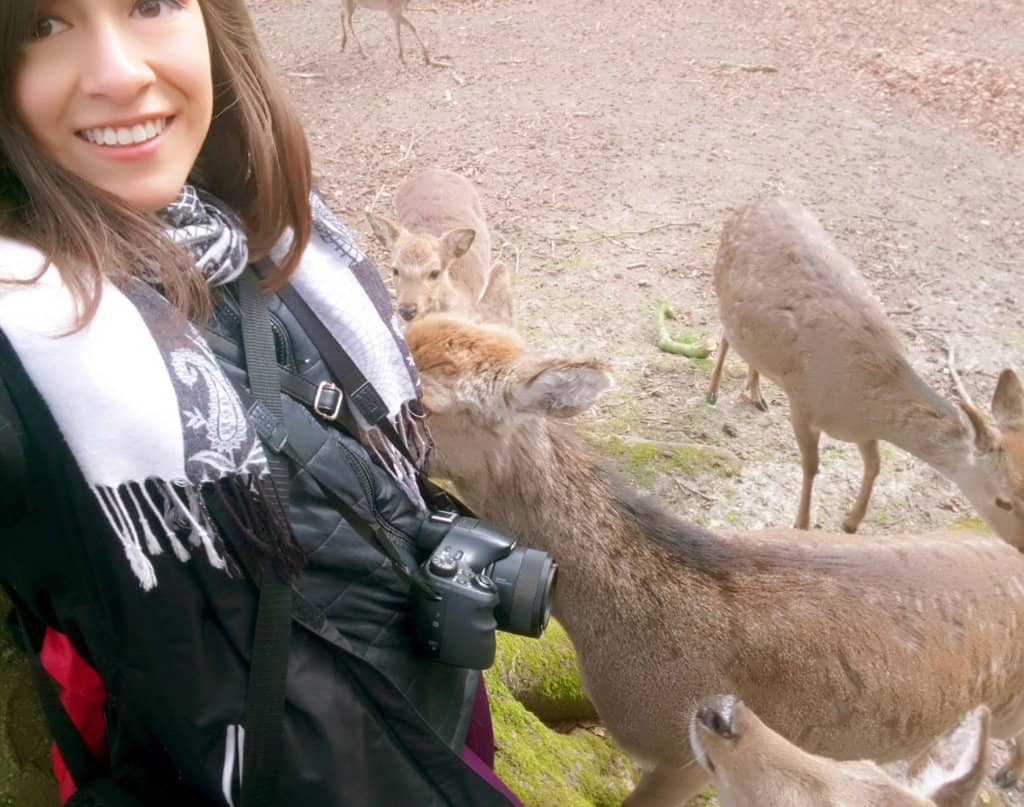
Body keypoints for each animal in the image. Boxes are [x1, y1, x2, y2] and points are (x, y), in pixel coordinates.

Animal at [704, 196, 1024, 546]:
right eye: (1003, 501)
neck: (859, 405)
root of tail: (754, 202)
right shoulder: (803, 403)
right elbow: (811, 466)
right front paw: (801, 524)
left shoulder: (863, 430)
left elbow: (875, 465)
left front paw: (851, 522)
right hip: (721, 291)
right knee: (724, 336)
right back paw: (713, 392)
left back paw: (758, 394)